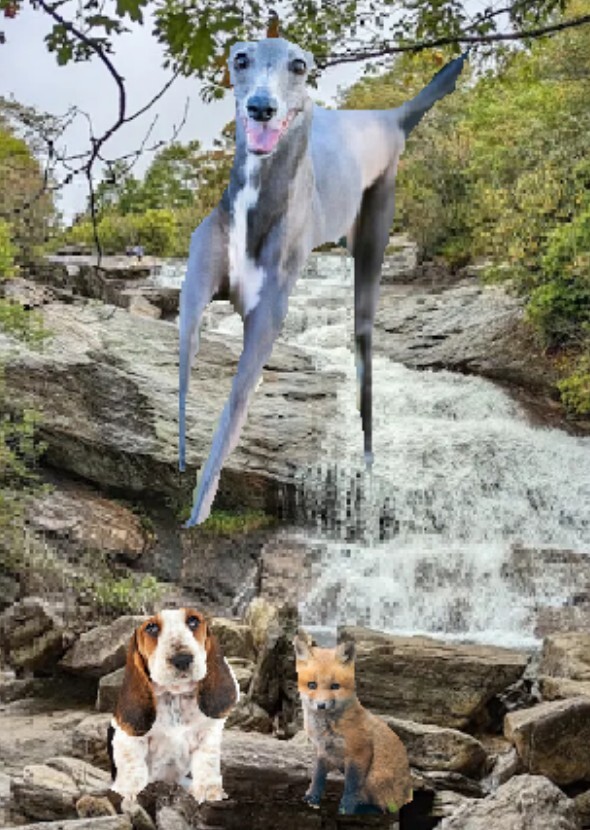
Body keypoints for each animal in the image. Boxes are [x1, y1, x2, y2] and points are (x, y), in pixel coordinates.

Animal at [293, 633, 413, 816]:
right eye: (312, 685)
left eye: (335, 686)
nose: (321, 705)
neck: (327, 730)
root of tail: (408, 795)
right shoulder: (323, 752)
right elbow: (317, 778)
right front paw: (312, 797)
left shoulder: (359, 754)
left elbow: (351, 787)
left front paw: (346, 808)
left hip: (374, 777)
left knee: (387, 810)